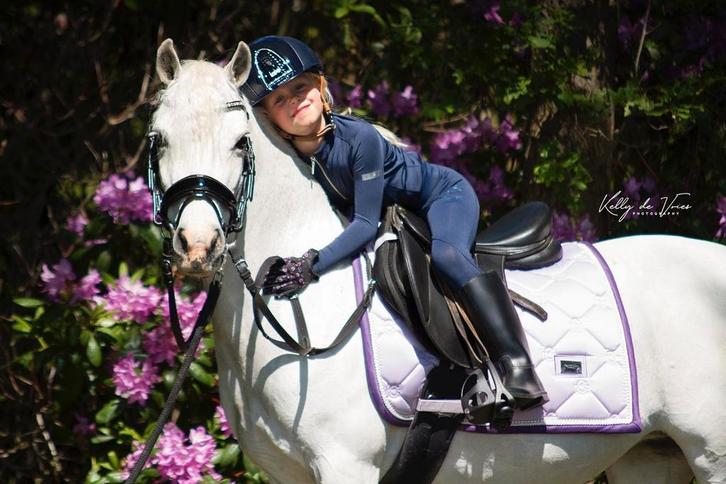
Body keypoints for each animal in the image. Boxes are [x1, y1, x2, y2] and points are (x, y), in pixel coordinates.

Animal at [149, 39, 726, 483]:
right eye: (159, 140)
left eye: (240, 143)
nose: (198, 246)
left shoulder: (345, 464)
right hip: (649, 454)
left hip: (711, 454)